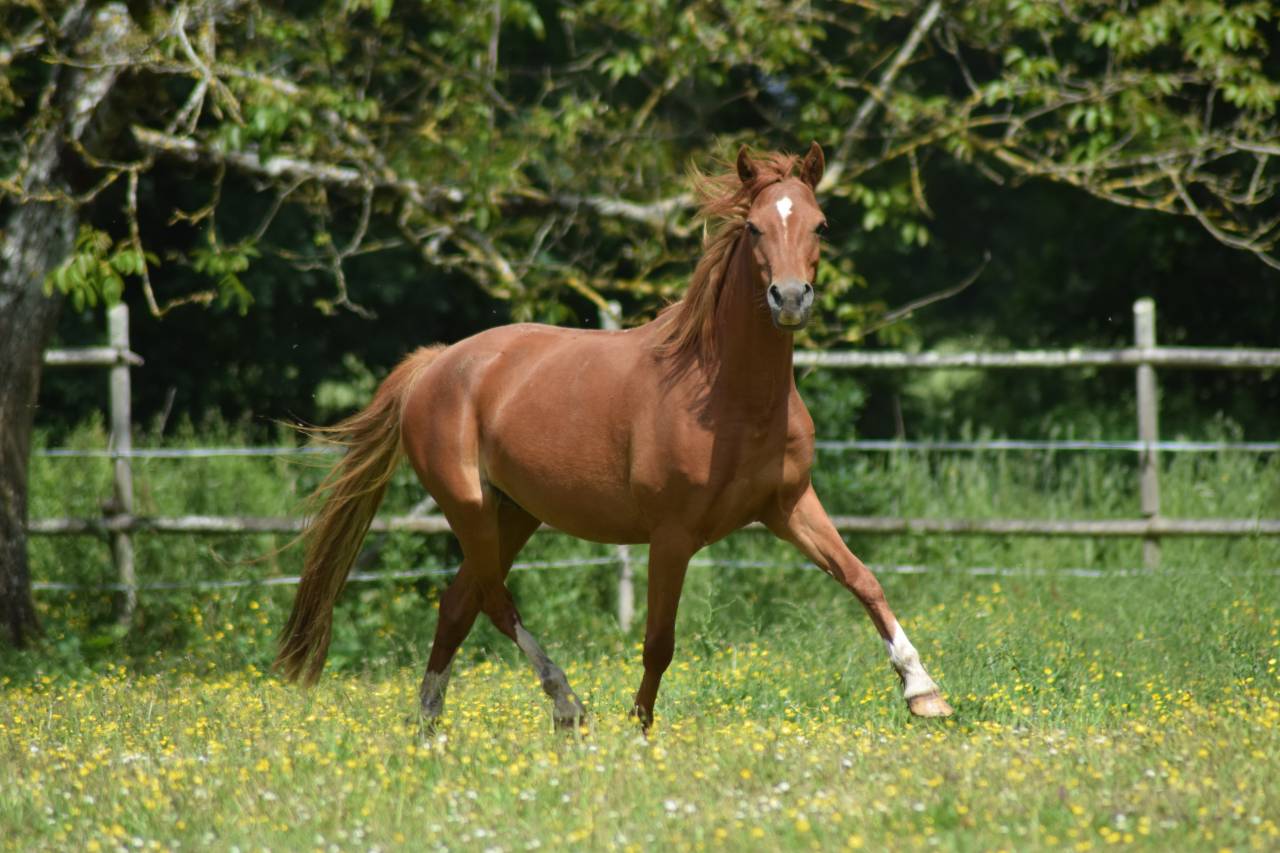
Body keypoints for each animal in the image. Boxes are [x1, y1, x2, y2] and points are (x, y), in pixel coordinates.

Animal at [275, 143, 953, 728]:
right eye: (755, 228)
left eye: (821, 224)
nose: (789, 299)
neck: (726, 397)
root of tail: (436, 364)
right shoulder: (672, 535)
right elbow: (658, 641)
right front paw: (639, 731)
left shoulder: (789, 507)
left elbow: (864, 579)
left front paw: (924, 693)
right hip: (468, 506)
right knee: (494, 602)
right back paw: (566, 707)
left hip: (514, 512)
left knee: (457, 605)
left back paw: (430, 731)